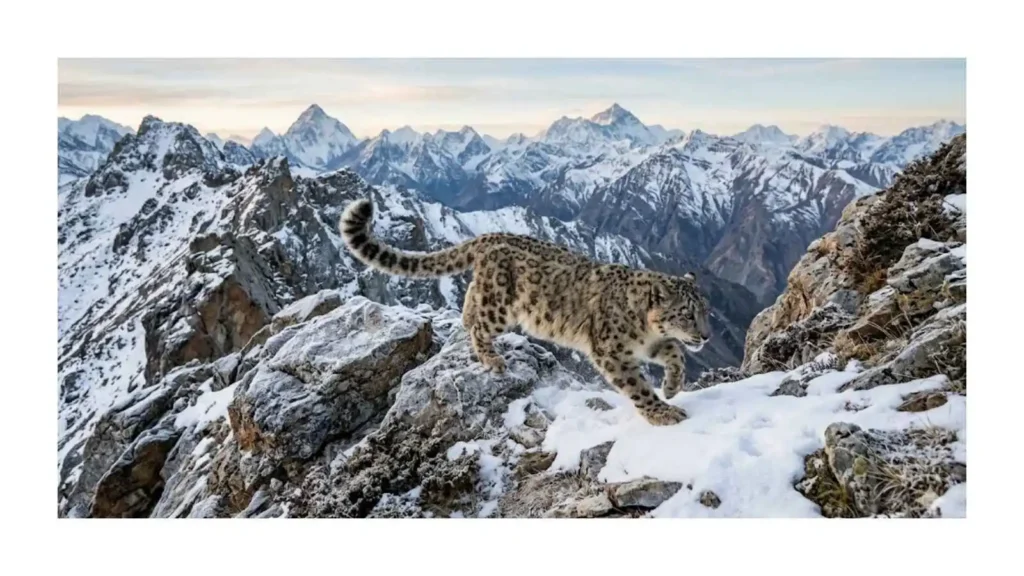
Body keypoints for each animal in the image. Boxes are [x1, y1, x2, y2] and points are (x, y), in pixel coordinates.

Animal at [339, 198, 712, 426]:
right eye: (686, 314)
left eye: (706, 311)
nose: (707, 336)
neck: (647, 332)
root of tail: (489, 236)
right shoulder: (613, 351)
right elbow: (637, 386)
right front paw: (663, 412)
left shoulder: (652, 345)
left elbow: (676, 352)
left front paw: (672, 387)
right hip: (502, 307)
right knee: (480, 327)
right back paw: (492, 359)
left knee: (471, 300)